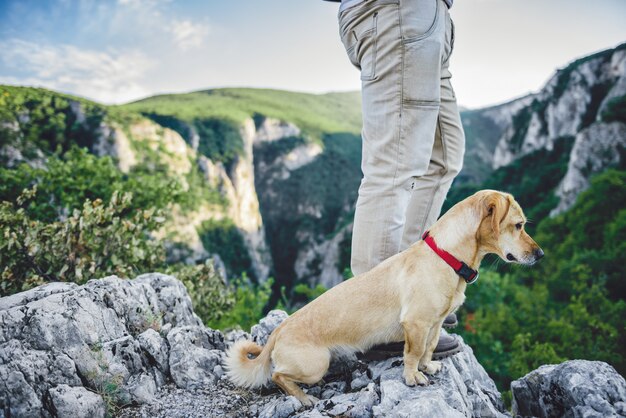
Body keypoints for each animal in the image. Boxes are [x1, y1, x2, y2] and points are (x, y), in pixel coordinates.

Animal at [224, 189, 540, 404]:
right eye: (518, 225)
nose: (541, 255)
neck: (446, 256)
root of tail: (278, 331)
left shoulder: (434, 324)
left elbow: (428, 348)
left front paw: (429, 366)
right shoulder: (415, 324)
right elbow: (412, 353)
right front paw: (413, 377)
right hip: (315, 365)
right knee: (278, 376)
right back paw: (303, 397)